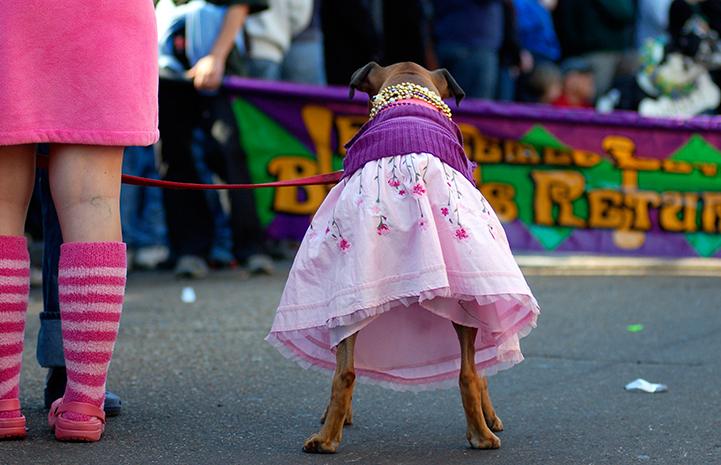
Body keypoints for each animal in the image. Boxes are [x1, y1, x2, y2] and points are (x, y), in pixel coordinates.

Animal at [300, 61, 504, 454]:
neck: (408, 93)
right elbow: (481, 372)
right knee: (469, 372)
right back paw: (482, 434)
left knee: (344, 372)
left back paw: (328, 437)